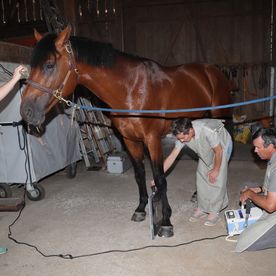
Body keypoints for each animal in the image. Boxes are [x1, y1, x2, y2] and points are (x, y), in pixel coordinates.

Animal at [20, 25, 234, 237]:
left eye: (49, 65)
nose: (26, 111)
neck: (132, 89)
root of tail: (214, 71)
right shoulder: (130, 140)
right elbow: (139, 175)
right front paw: (140, 209)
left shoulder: (152, 139)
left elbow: (160, 178)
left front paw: (165, 221)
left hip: (218, 117)